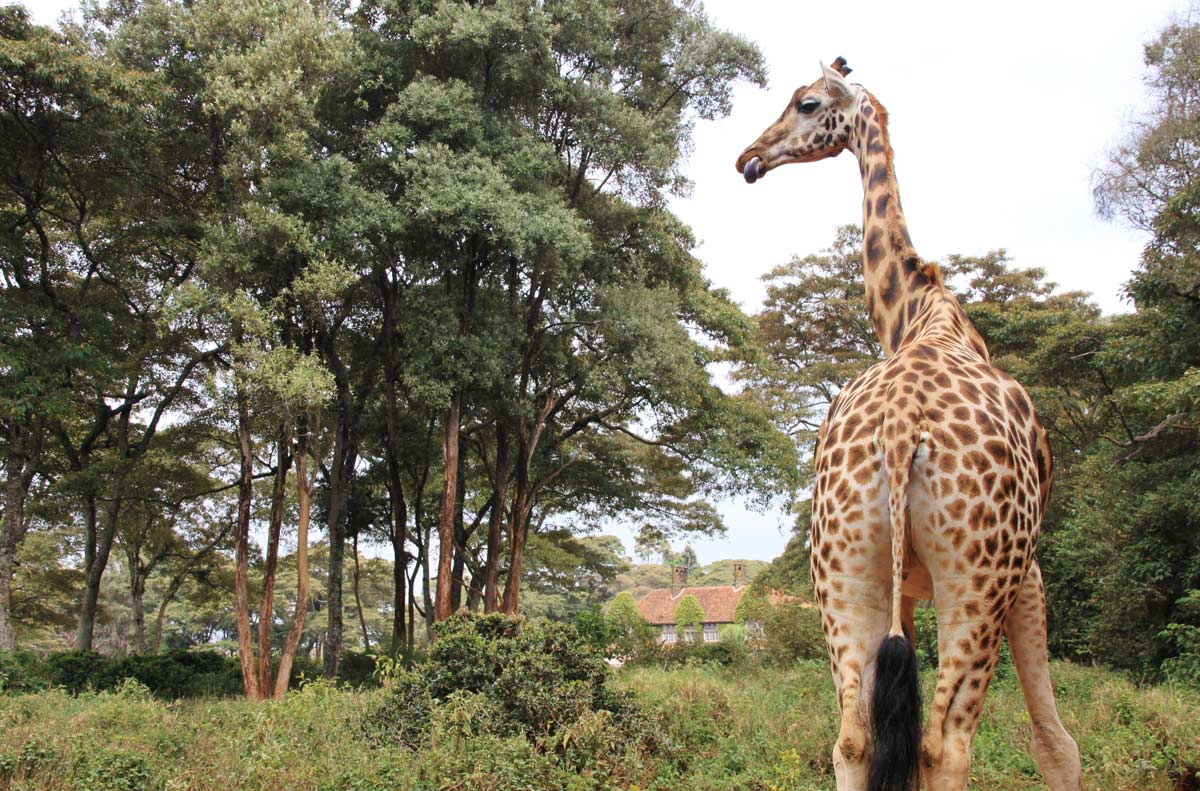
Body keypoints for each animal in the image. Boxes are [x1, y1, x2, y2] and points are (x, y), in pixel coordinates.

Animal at [735, 59, 1081, 791]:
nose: (748, 158)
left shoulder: (918, 589)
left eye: (806, 104)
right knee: (944, 745)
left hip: (843, 569)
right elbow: (1055, 741)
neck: (921, 312)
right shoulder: (1028, 572)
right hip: (976, 577)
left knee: (854, 739)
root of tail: (900, 426)